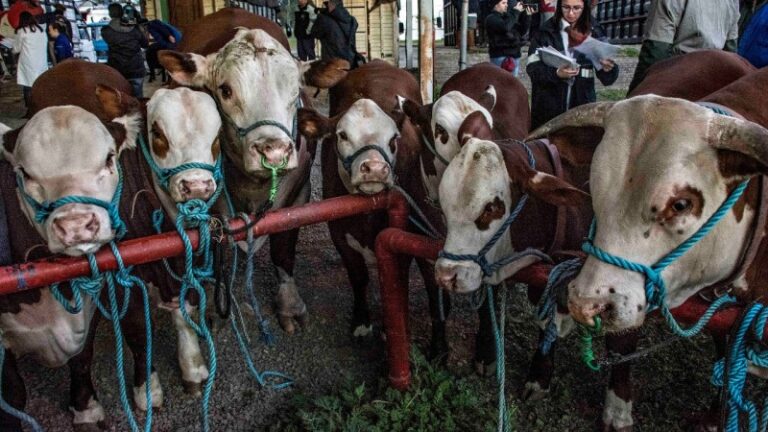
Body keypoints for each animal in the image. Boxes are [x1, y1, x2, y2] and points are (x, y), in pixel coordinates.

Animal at [0, 70, 154, 428]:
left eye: (109, 158)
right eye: (24, 173)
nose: (75, 225)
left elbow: (84, 354)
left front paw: (85, 406)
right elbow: (13, 395)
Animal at [159, 7, 344, 334]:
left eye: (295, 90)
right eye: (225, 90)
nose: (274, 151)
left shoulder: (300, 193)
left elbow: (283, 247)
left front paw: (289, 305)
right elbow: (215, 252)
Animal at [294, 60, 450, 354]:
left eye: (394, 138)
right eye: (342, 135)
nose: (375, 168)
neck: (366, 218)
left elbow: (397, 280)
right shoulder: (339, 234)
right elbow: (359, 278)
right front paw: (361, 322)